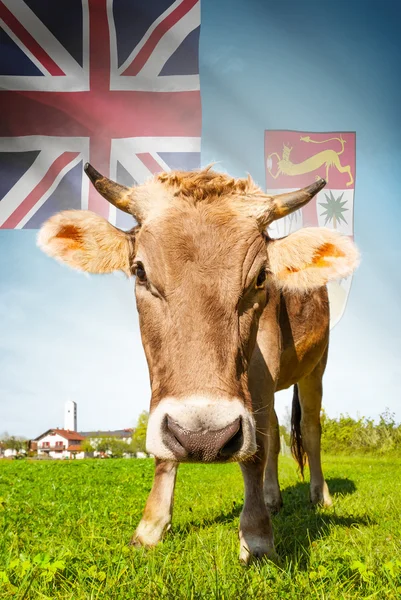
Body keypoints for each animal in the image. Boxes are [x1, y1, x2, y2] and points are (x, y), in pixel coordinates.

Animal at [37, 164, 358, 564]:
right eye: (140, 271)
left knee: (310, 431)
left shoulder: (263, 362)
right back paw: (272, 498)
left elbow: (254, 452)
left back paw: (320, 496)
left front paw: (257, 536)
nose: (203, 438)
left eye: (260, 277)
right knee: (271, 430)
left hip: (316, 367)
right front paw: (150, 527)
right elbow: (167, 449)